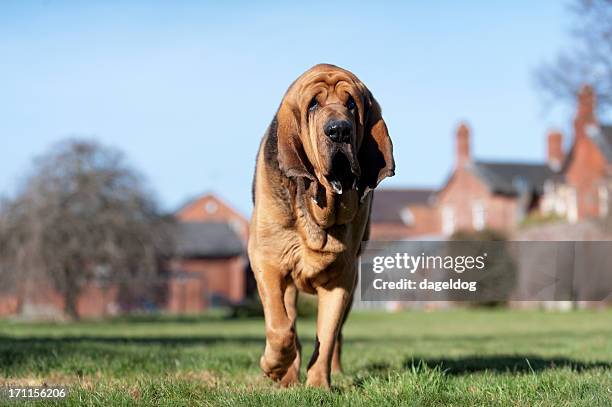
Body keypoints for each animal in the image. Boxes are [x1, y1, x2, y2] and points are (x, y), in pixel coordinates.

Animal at [250, 63, 396, 388]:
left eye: (351, 104)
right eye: (313, 104)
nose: (339, 130)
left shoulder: (341, 279)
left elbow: (327, 336)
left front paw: (319, 385)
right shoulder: (267, 261)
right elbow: (281, 328)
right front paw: (273, 366)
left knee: (337, 334)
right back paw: (287, 375)